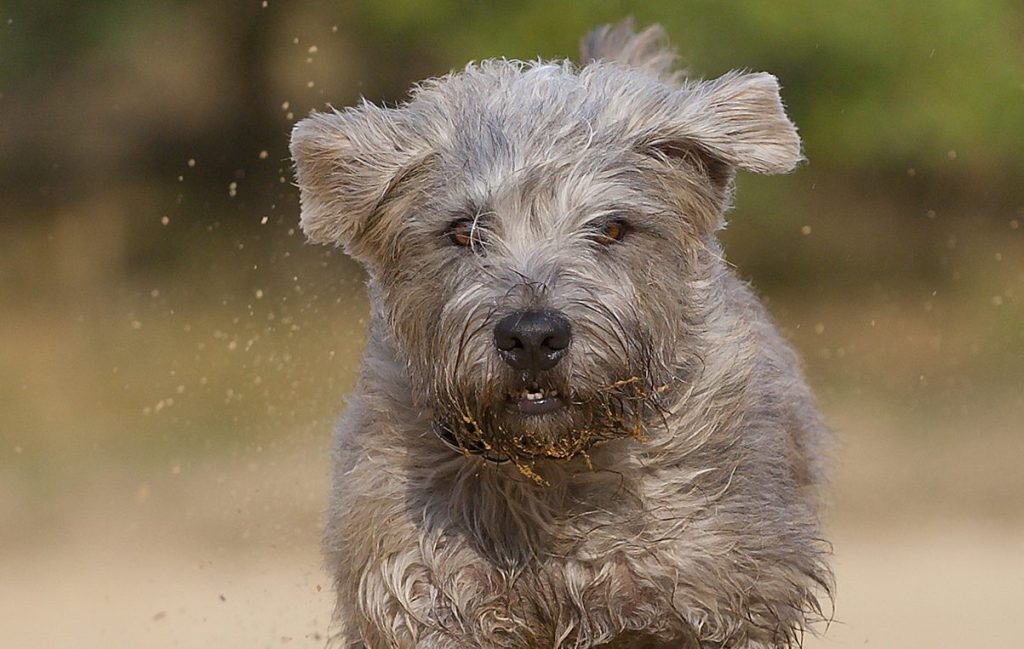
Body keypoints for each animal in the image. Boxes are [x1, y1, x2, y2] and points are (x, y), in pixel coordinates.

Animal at [290, 20, 831, 646]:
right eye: (461, 231)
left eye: (612, 228)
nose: (531, 337)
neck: (553, 471)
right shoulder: (424, 586)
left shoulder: (708, 590)